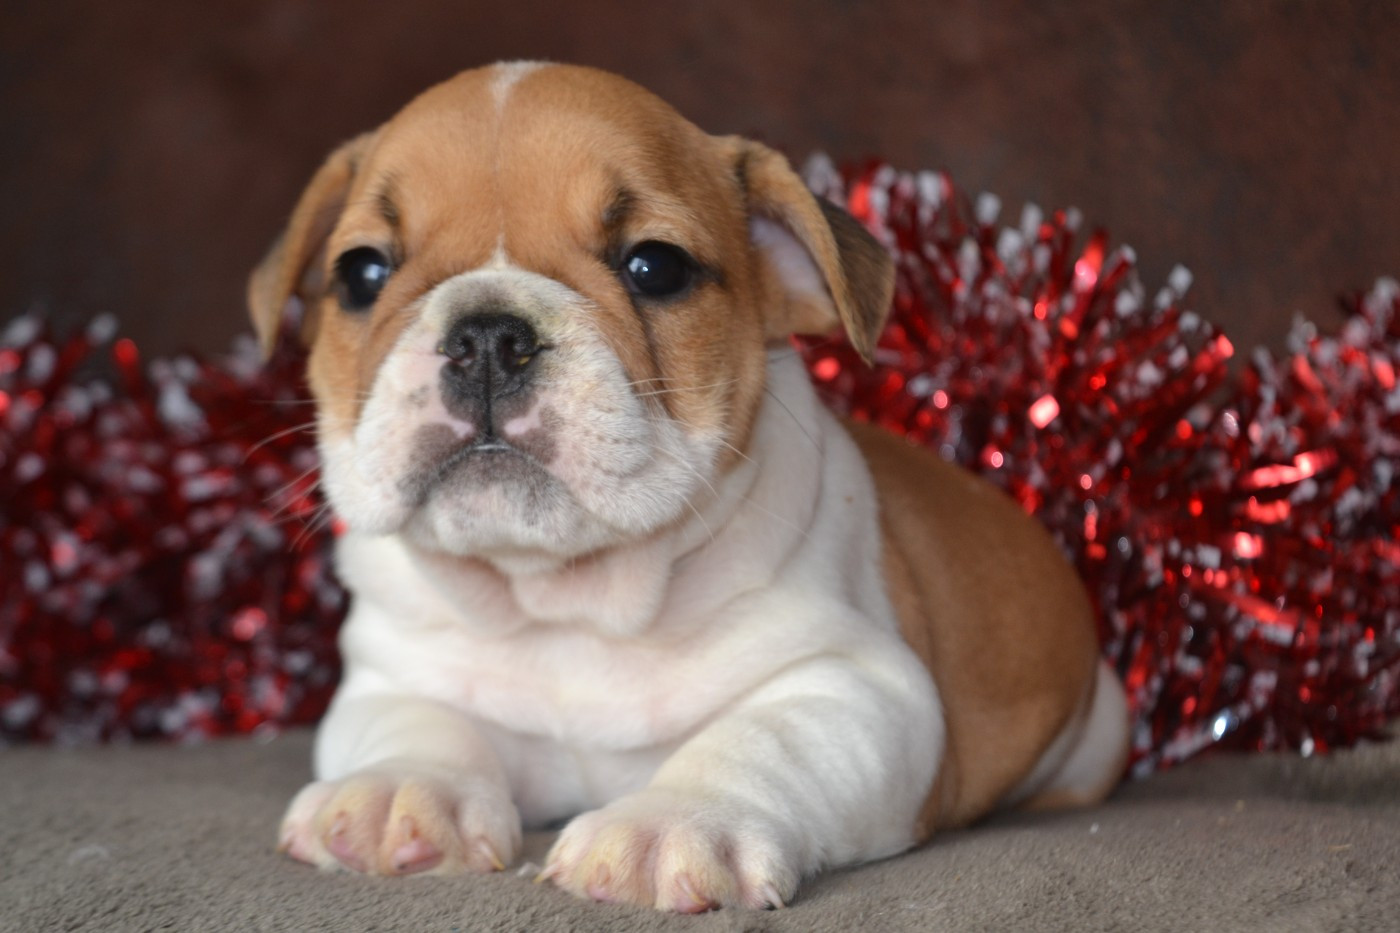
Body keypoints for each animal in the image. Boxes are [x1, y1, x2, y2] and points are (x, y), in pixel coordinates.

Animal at [248, 61, 1130, 912]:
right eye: (362, 273)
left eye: (655, 266)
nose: (488, 336)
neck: (564, 599)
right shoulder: (388, 675)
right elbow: (417, 722)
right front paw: (391, 791)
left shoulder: (855, 685)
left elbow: (755, 741)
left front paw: (668, 822)